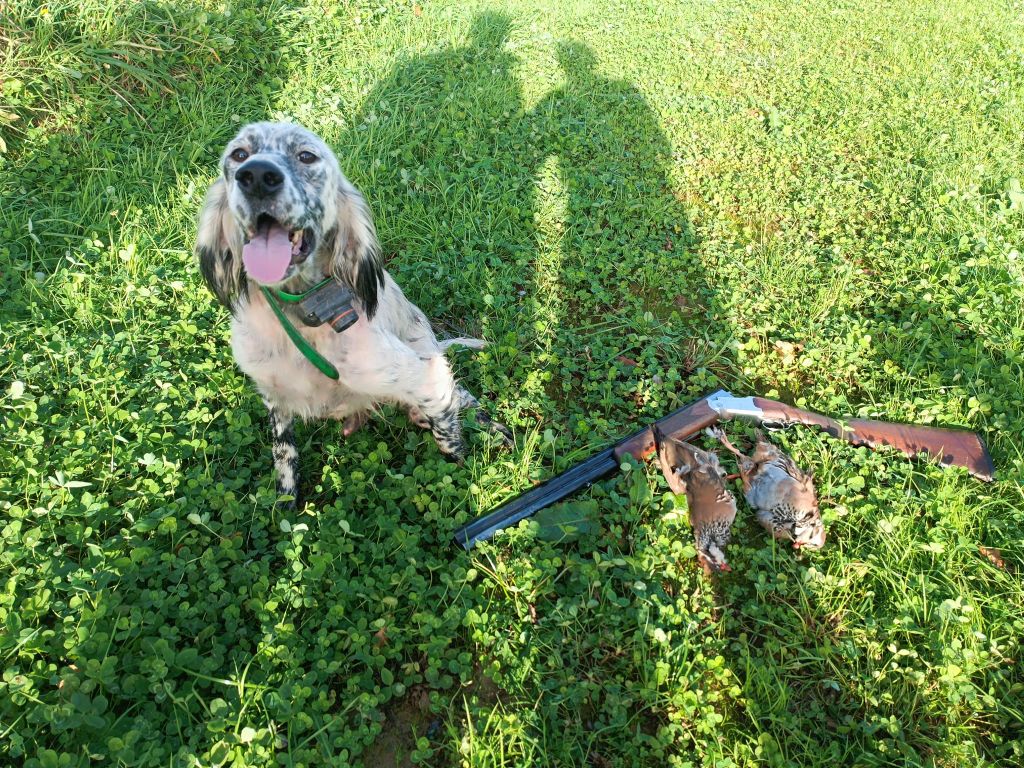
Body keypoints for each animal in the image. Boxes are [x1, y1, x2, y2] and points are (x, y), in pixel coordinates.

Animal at [193, 121, 509, 505]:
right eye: (239, 154)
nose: (255, 176)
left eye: (306, 156)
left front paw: (462, 469)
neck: (300, 316)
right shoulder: (273, 395)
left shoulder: (424, 377)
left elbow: (449, 437)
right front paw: (285, 501)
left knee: (463, 396)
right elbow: (283, 451)